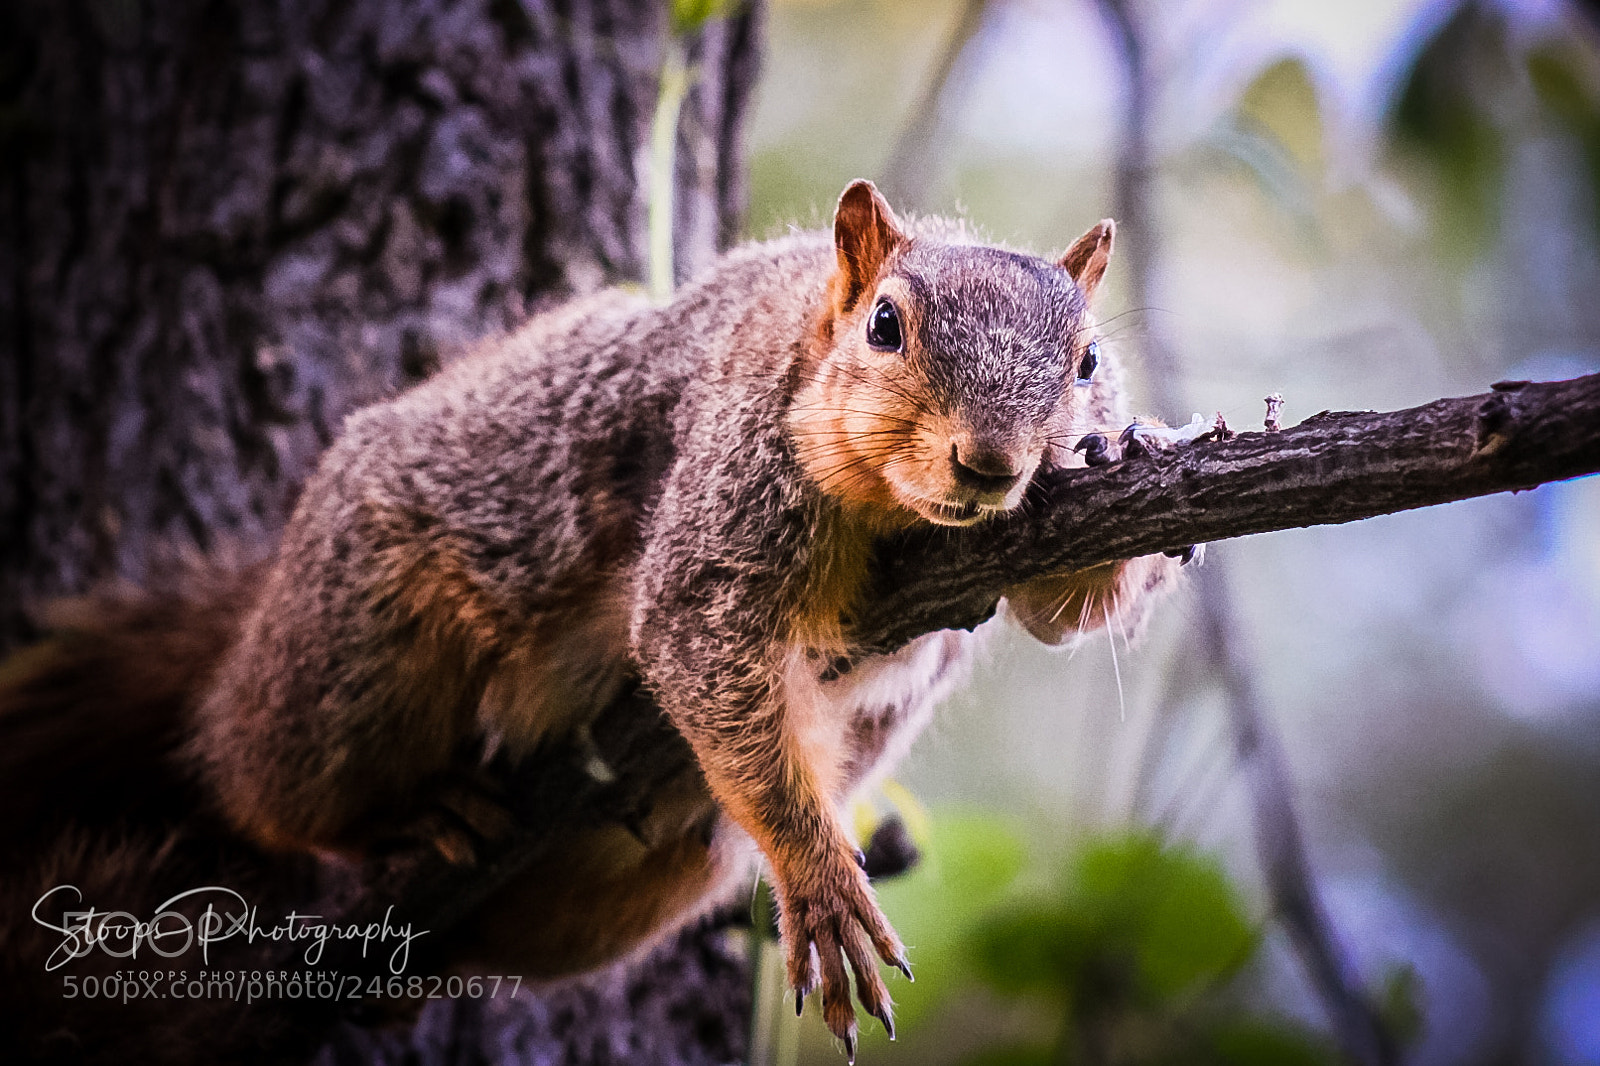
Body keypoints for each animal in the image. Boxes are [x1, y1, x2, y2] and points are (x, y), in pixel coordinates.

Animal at [2, 179, 1180, 1057]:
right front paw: (818, 879)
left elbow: (1057, 614)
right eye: (885, 326)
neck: (900, 520)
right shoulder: (724, 489)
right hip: (356, 649)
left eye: (1088, 362)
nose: (992, 464)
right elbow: (690, 640)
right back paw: (400, 816)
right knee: (260, 782)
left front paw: (1125, 457)